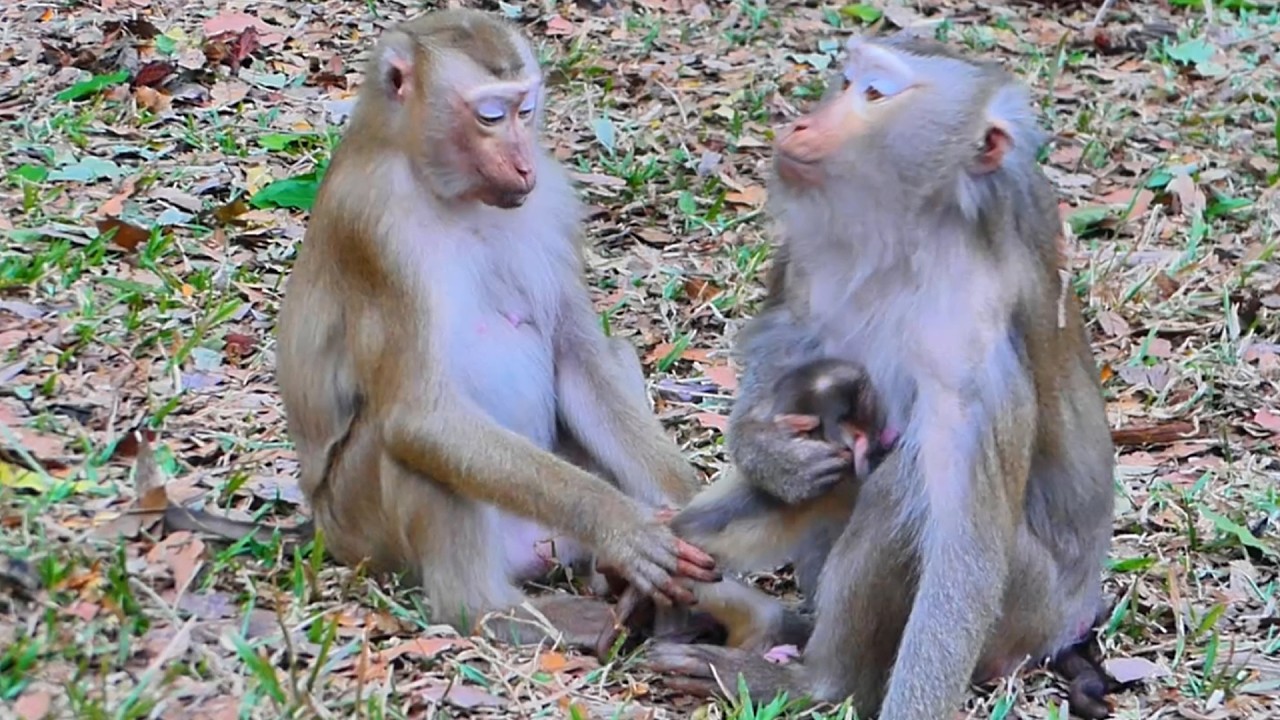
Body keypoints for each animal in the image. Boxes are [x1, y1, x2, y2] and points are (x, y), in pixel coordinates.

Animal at [214, 9, 723, 650]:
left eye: (526, 110)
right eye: (489, 116)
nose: (524, 162)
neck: (438, 185)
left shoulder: (552, 203)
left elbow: (582, 362)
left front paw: (694, 504)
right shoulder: (374, 230)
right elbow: (420, 417)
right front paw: (622, 526)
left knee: (608, 355)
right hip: (362, 531)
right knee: (412, 444)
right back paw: (491, 610)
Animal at [635, 33, 1121, 720]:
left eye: (874, 94)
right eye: (845, 82)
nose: (803, 122)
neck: (915, 234)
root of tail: (1073, 622)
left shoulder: (972, 345)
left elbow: (964, 550)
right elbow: (787, 340)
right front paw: (770, 453)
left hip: (1026, 613)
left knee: (903, 483)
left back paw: (820, 680)